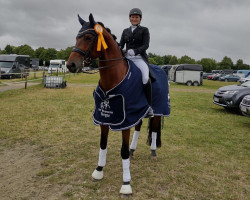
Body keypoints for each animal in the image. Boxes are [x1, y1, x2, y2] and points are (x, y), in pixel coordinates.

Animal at [66, 13, 170, 195]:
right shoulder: (106, 118)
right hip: (139, 112)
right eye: (77, 37)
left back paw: (153, 153)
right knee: (139, 127)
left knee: (154, 128)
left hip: (158, 111)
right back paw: (133, 150)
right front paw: (98, 171)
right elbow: (103, 144)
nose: (71, 65)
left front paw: (126, 184)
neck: (113, 78)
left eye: (88, 37)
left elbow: (123, 151)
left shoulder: (125, 120)